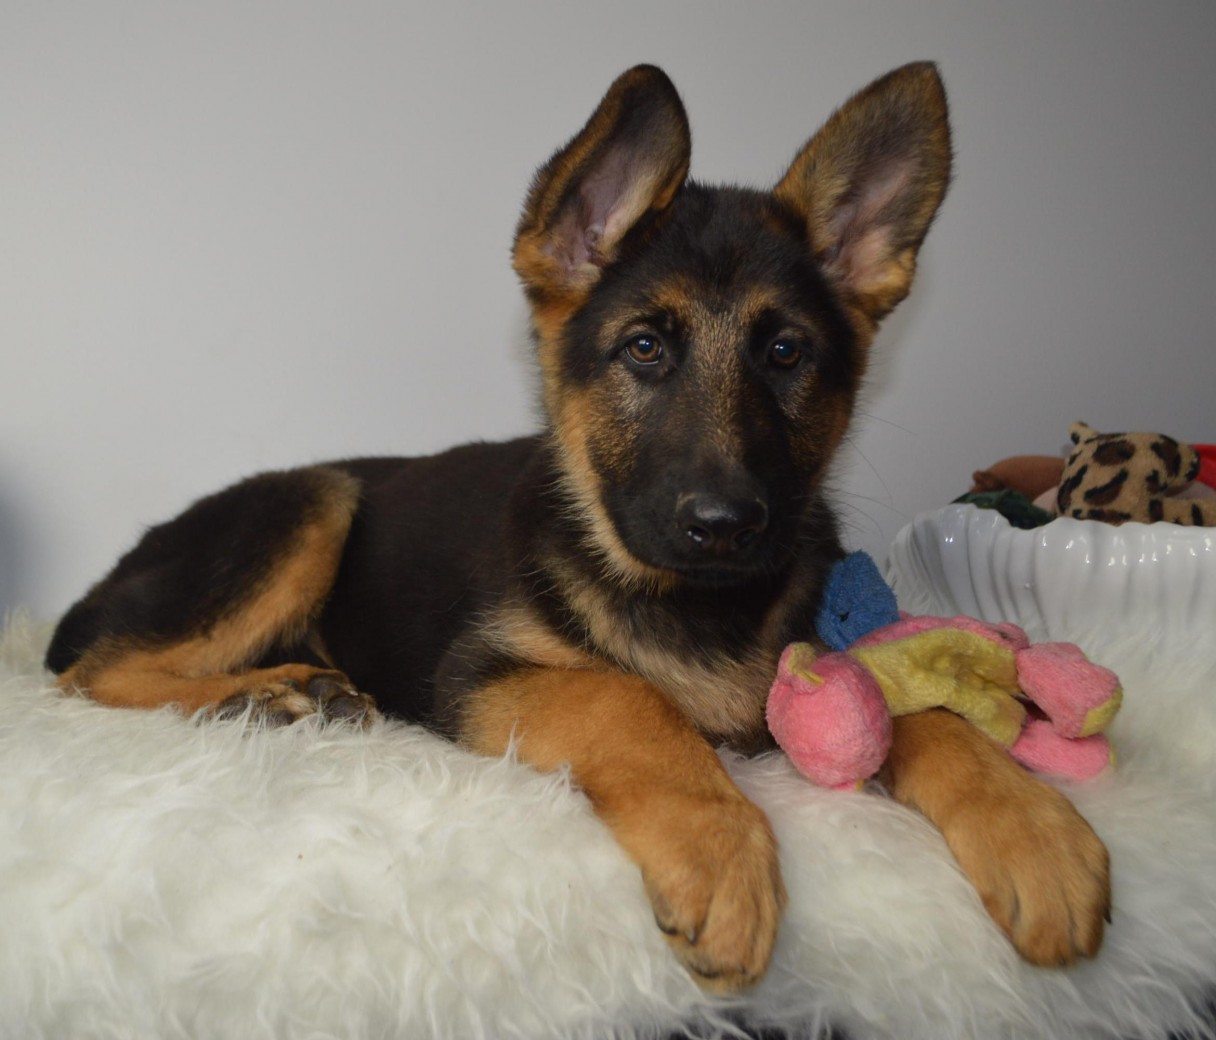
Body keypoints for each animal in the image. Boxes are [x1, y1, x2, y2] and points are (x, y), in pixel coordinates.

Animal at [47, 62, 1113, 992]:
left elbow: (917, 703)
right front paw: (721, 851)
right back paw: (264, 695)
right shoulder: (482, 678)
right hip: (314, 501)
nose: (725, 525)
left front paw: (1035, 828)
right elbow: (626, 699)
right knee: (91, 674)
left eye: (785, 354)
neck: (688, 600)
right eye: (642, 349)